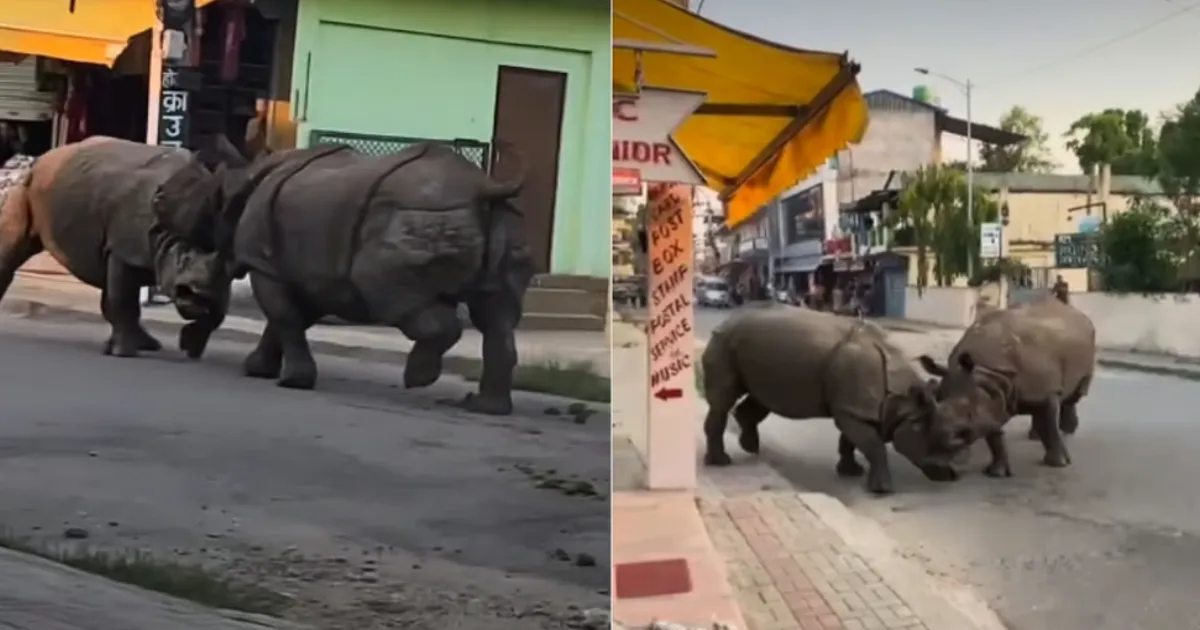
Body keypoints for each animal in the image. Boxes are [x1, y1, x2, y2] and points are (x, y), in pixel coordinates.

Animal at [0, 137, 233, 358]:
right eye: (183, 261)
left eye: (220, 265)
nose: (198, 296)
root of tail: (41, 157)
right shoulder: (124, 250)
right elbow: (123, 299)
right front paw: (124, 353)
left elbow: (220, 310)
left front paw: (191, 345)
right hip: (24, 185)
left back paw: (148, 344)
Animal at [153, 141, 535, 415]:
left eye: (194, 199)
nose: (159, 198)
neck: (240, 182)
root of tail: (484, 188)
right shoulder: (311, 274)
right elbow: (285, 322)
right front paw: (258, 369)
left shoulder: (264, 263)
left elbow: (284, 318)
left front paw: (292, 381)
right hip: (502, 224)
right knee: (498, 315)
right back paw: (486, 408)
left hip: (413, 218)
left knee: (391, 292)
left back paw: (417, 379)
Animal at [702, 307, 958, 495]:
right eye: (933, 441)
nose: (950, 475)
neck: (904, 400)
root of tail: (725, 322)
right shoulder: (852, 409)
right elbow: (873, 445)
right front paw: (883, 490)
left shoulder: (853, 407)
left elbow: (850, 441)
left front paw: (851, 472)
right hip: (724, 344)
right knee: (723, 401)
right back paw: (721, 462)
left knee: (761, 398)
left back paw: (750, 447)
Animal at [917, 297, 1096, 477]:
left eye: (968, 414)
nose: (934, 466)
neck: (987, 371)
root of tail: (1075, 311)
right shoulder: (989, 395)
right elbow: (993, 434)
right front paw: (997, 473)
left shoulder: (1044, 392)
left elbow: (1050, 426)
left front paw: (1058, 464)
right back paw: (1035, 436)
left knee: (1075, 394)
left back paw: (1067, 430)